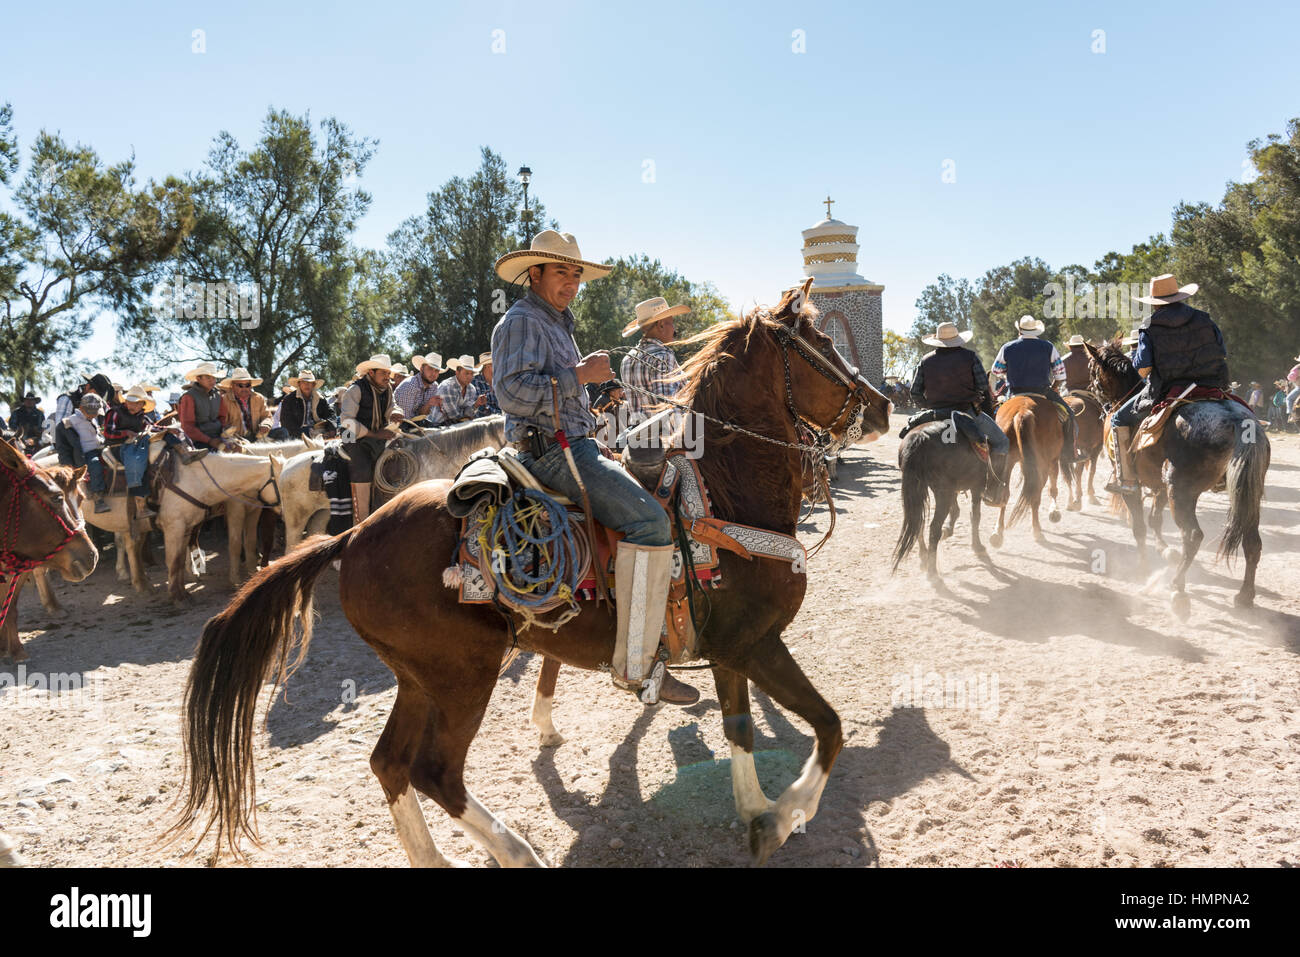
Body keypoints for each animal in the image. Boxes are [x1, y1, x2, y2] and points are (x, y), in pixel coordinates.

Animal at [170, 278, 894, 868]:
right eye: (820, 344)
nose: (883, 405)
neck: (723, 492)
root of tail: (355, 534)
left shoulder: (731, 646)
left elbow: (741, 728)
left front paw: (755, 810)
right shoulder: (757, 642)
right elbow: (828, 727)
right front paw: (781, 817)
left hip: (420, 676)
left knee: (390, 762)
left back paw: (437, 859)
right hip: (463, 673)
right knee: (435, 771)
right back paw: (516, 851)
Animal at [987, 392, 1060, 546]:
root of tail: (1022, 412)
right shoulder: (1053, 460)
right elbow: (1052, 487)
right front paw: (1054, 511)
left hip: (1006, 460)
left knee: (1004, 493)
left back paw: (997, 533)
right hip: (1042, 463)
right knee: (1035, 494)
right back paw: (1037, 531)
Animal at [1086, 340, 1268, 616]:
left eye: (1092, 369)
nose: (1090, 390)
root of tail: (1239, 422)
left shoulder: (1132, 486)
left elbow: (1139, 527)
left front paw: (1143, 568)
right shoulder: (1160, 486)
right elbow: (1154, 519)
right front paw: (1165, 551)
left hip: (1181, 491)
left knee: (1192, 536)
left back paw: (1178, 590)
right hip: (1247, 494)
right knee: (1252, 542)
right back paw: (1244, 595)